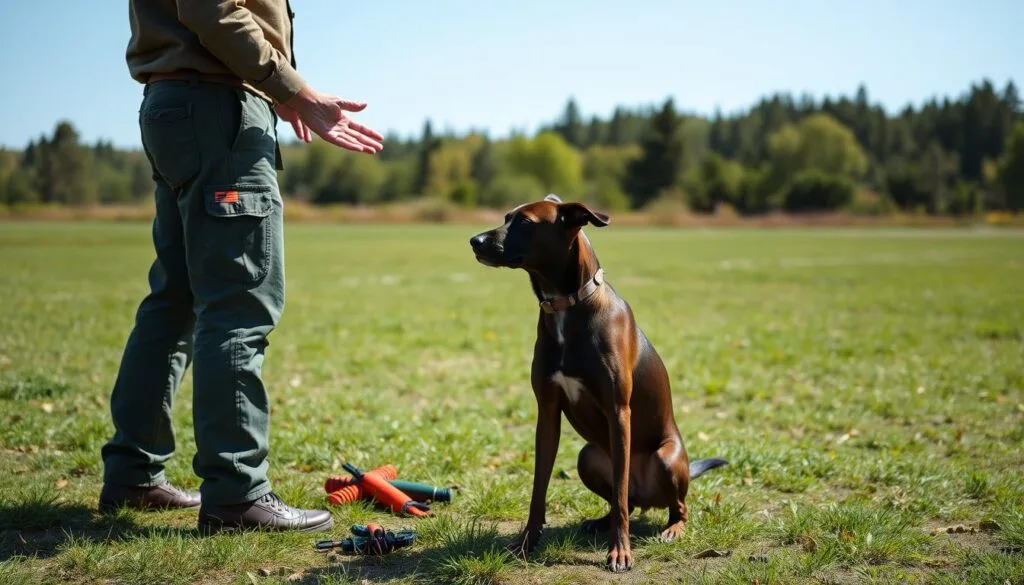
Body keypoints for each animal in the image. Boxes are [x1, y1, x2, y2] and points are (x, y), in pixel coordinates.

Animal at [468, 194, 724, 569]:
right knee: (625, 501)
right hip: (588, 456)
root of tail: (647, 495)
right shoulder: (547, 412)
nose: (475, 241)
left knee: (667, 505)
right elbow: (538, 488)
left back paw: (672, 529)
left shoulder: (618, 412)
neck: (567, 305)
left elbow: (618, 493)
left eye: (526, 222)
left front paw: (620, 551)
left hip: (666, 458)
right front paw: (527, 543)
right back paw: (600, 522)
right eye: (506, 217)